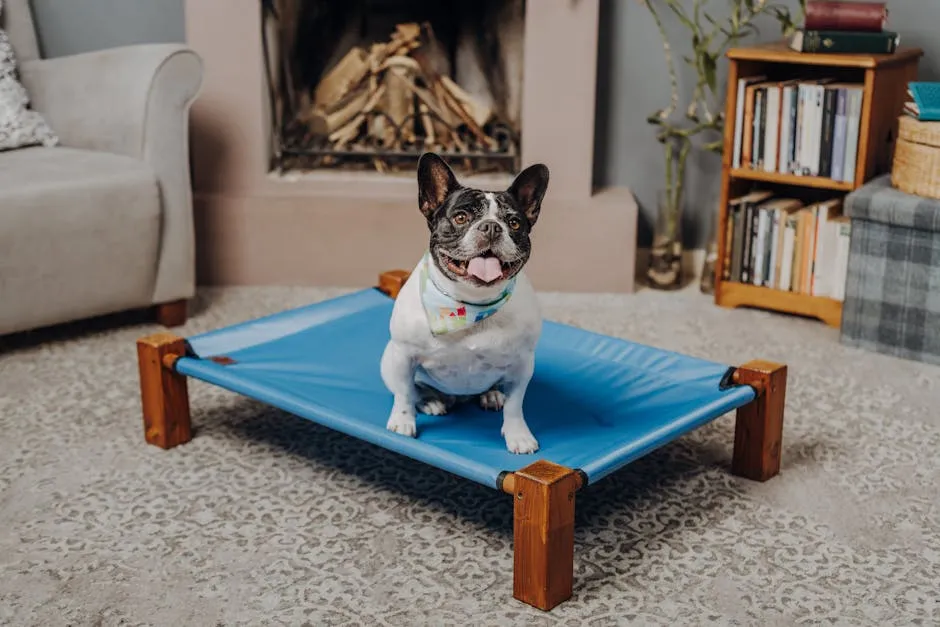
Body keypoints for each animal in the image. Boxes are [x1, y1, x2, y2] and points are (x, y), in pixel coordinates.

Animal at [378, 154, 548, 454]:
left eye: (514, 223)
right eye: (461, 218)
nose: (491, 226)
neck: (470, 304)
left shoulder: (522, 364)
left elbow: (515, 406)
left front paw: (518, 435)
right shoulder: (403, 356)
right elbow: (404, 394)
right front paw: (402, 422)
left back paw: (491, 395)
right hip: (388, 361)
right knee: (414, 390)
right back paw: (431, 401)